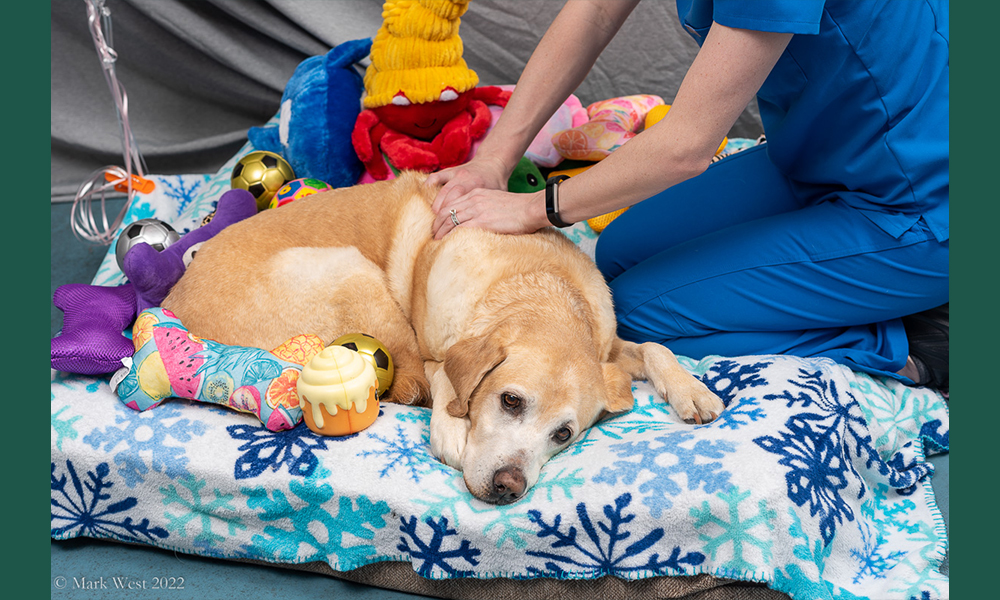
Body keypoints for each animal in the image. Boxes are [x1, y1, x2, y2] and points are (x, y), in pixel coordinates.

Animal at [166, 171, 728, 504]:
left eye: (564, 434)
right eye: (510, 400)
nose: (509, 486)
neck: (542, 287)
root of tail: (174, 308)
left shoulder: (608, 348)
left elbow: (653, 347)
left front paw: (692, 390)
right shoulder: (439, 350)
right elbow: (441, 379)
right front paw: (453, 429)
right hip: (348, 269)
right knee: (412, 381)